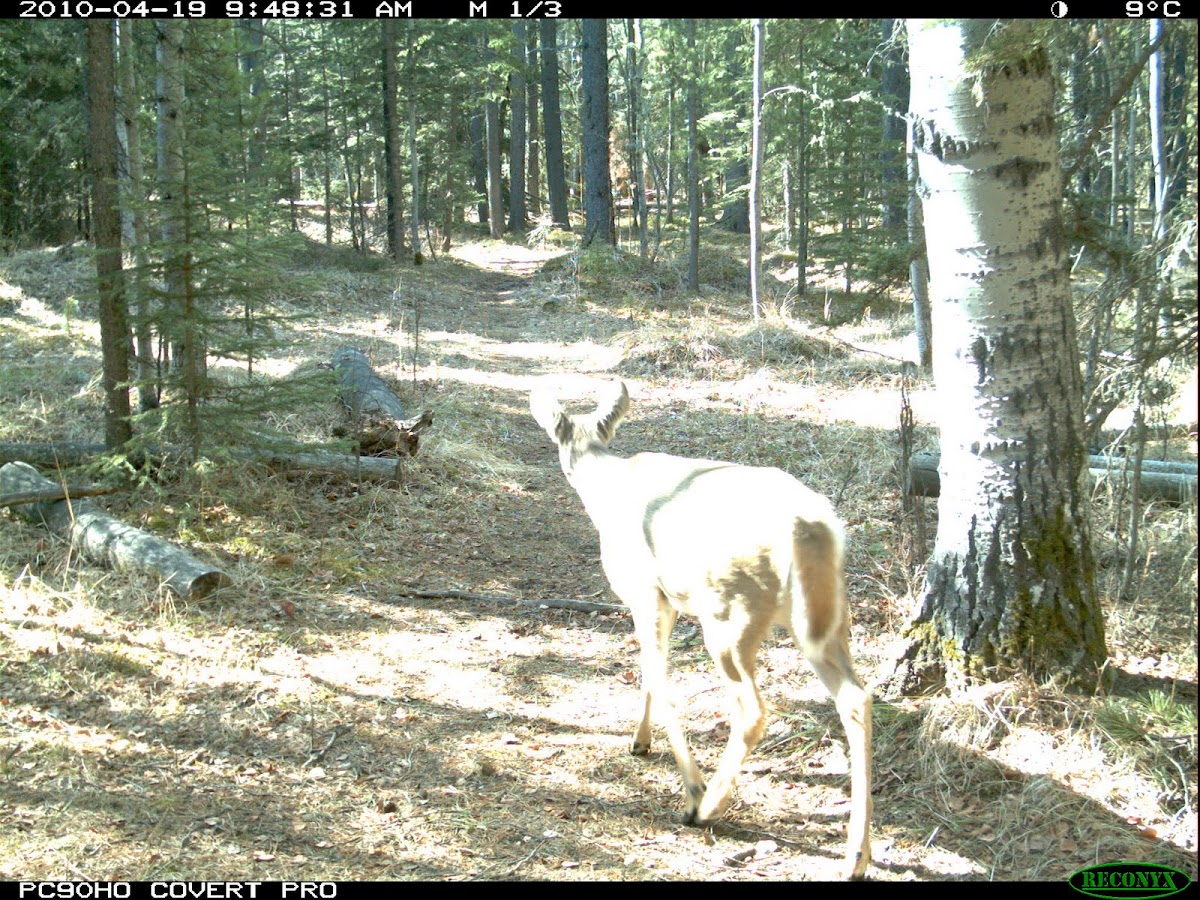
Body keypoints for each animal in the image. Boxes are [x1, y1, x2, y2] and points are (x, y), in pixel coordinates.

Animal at [532, 381, 873, 883]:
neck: (608, 482)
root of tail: (808, 529)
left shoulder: (644, 590)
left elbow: (657, 676)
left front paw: (687, 784)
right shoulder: (670, 600)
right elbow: (651, 669)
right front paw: (639, 740)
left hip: (730, 613)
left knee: (753, 708)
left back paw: (708, 805)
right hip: (825, 616)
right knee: (855, 696)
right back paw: (856, 856)